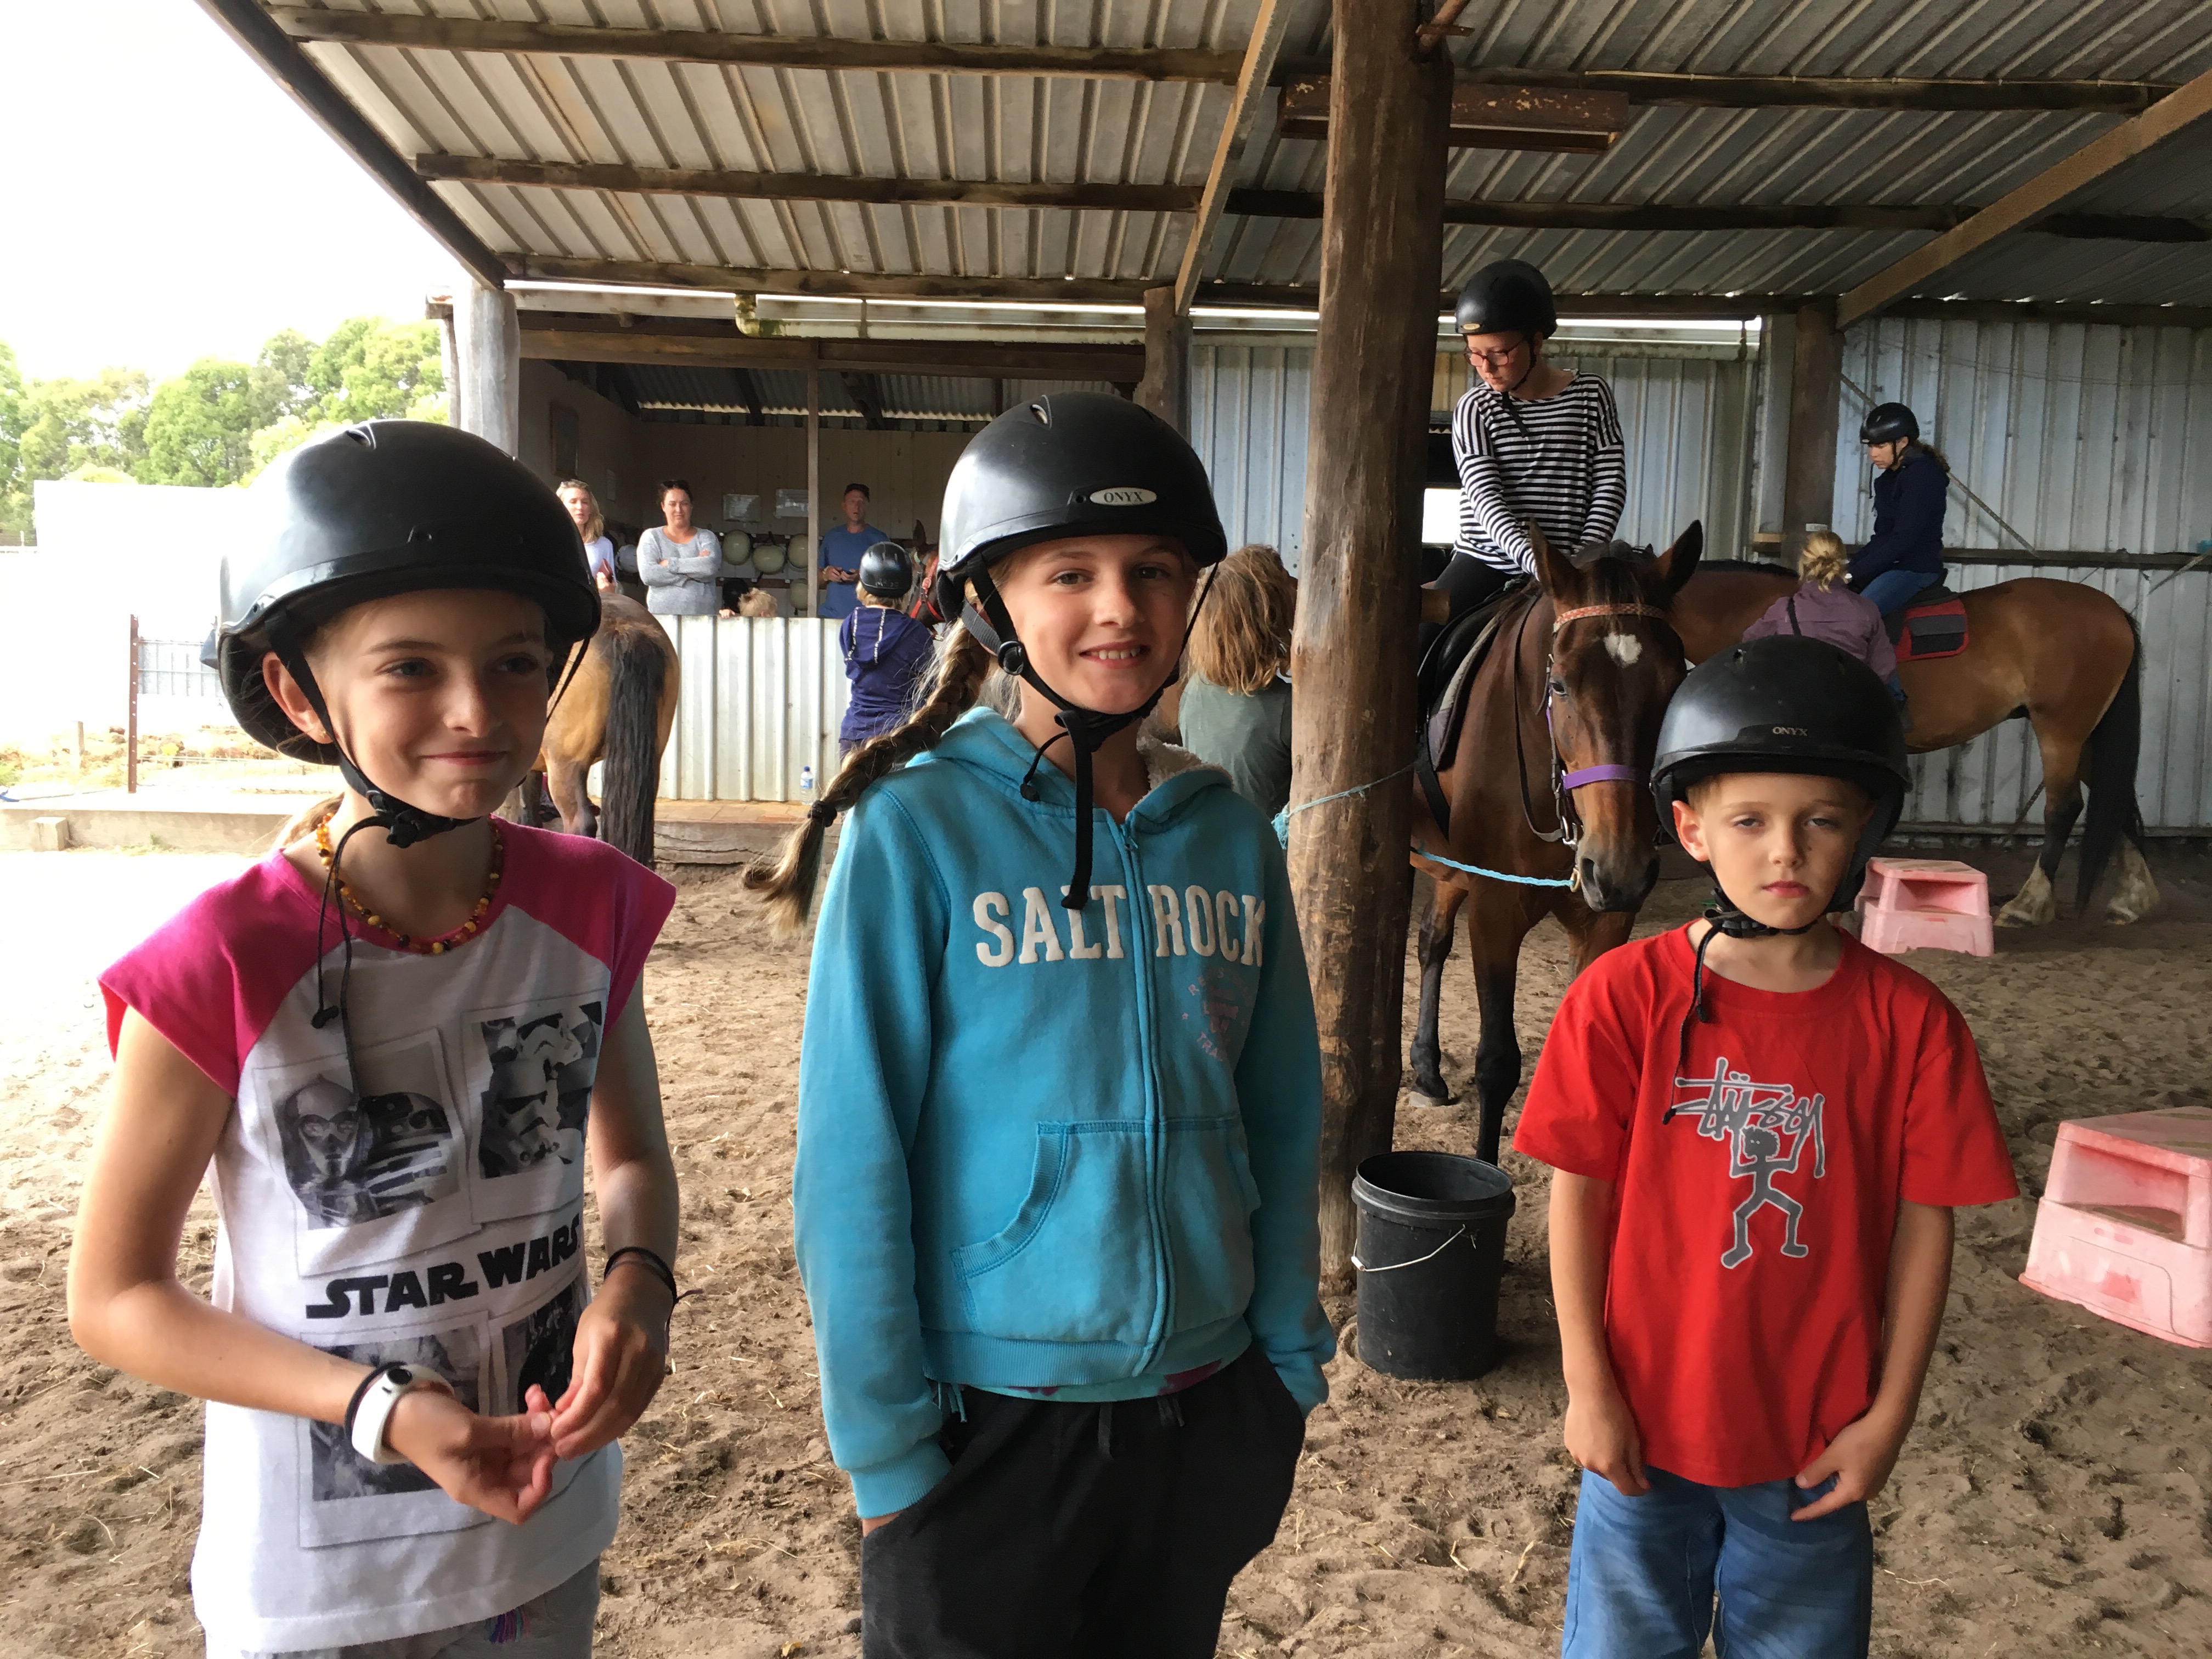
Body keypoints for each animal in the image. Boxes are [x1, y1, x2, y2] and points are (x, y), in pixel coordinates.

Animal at [1407, 525, 1703, 1162]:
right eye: (1560, 684)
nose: (1617, 869)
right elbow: (1498, 1063)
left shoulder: (1606, 922)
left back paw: (1426, 1071)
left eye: (1676, 683)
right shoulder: (1495, 910)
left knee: (1432, 941)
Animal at [1670, 565, 2156, 928]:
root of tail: (2112, 611)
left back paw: (2027, 906)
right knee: (2119, 800)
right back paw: (2132, 900)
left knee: (2064, 808)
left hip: (2061, 727)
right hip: (2088, 732)